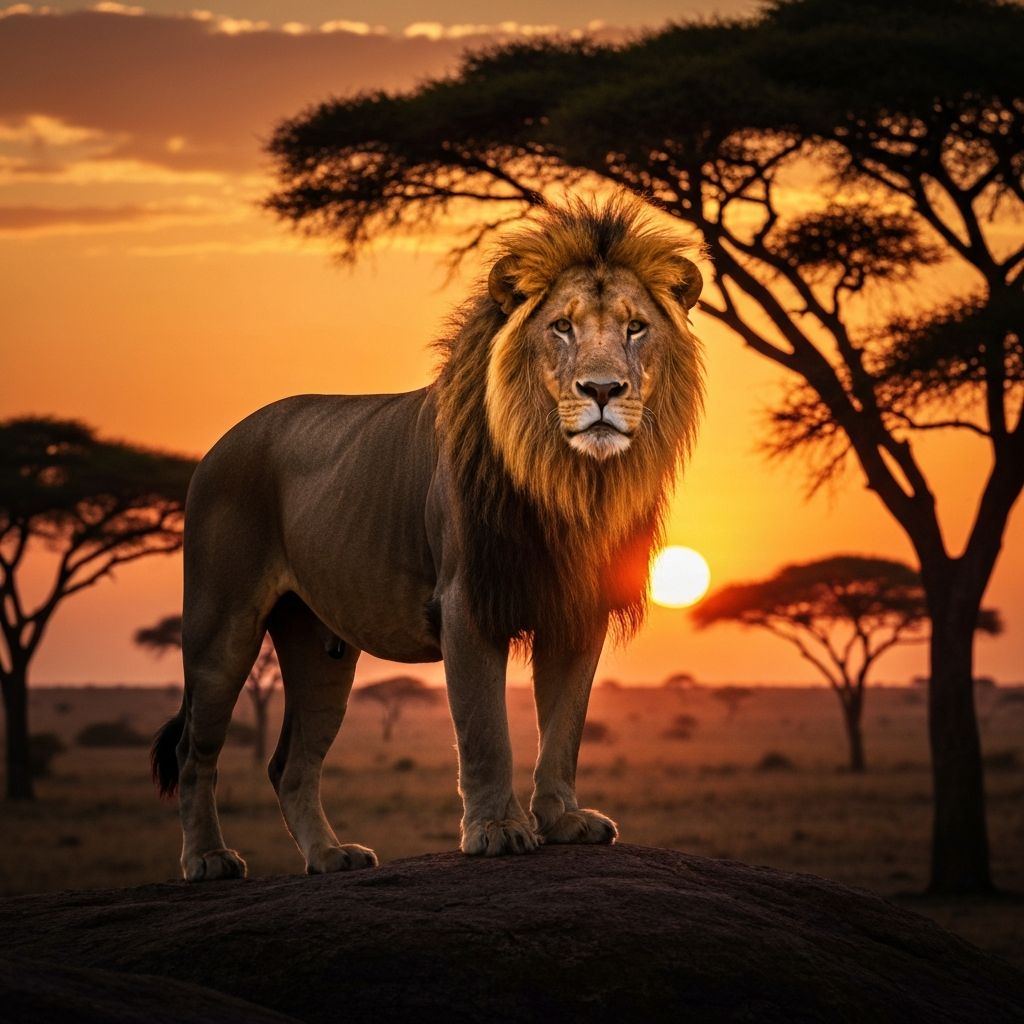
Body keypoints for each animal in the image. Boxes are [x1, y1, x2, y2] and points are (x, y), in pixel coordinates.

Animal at [152, 193, 704, 880]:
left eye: (635, 327)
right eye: (561, 327)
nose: (602, 390)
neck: (567, 478)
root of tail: (219, 445)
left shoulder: (577, 607)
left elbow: (564, 725)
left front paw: (563, 821)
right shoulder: (466, 603)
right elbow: (485, 729)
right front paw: (496, 830)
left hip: (317, 645)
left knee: (290, 764)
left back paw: (330, 856)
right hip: (219, 626)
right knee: (194, 751)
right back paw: (208, 859)